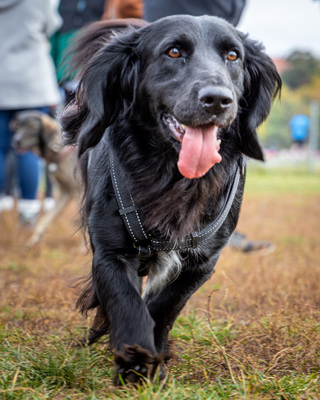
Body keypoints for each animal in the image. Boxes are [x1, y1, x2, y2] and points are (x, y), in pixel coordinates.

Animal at [61, 15, 282, 384]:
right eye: (174, 51)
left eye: (233, 56)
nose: (218, 100)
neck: (175, 178)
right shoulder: (110, 251)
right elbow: (126, 302)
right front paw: (134, 361)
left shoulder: (202, 261)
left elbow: (163, 307)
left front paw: (152, 356)